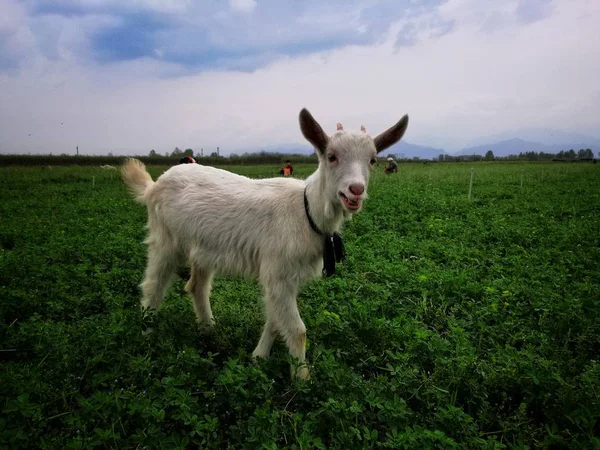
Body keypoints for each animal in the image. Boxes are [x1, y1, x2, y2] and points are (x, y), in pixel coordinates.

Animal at [124, 109, 410, 380]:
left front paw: (258, 357)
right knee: (153, 285)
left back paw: (208, 330)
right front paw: (301, 379)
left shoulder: (288, 276)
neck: (306, 211)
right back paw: (148, 335)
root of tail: (153, 185)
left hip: (203, 248)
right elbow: (297, 330)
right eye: (331, 156)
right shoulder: (278, 270)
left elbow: (275, 320)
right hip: (165, 239)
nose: (355, 191)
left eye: (372, 160)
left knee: (197, 286)